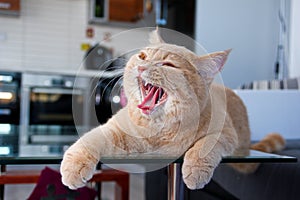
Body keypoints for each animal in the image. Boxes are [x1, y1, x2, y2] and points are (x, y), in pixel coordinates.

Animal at [60, 29, 284, 189]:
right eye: (142, 56)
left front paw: (195, 171)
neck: (158, 128)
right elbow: (90, 139)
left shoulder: (226, 133)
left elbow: (204, 146)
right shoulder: (113, 129)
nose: (142, 67)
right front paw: (74, 167)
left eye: (168, 64)